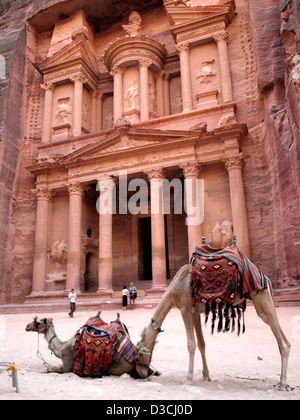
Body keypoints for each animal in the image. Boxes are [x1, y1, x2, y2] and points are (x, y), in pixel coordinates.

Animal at [136, 264, 290, 388]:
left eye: (137, 356)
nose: (140, 374)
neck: (172, 290)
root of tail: (266, 278)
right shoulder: (195, 313)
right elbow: (201, 343)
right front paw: (206, 375)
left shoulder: (185, 309)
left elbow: (191, 344)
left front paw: (188, 379)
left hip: (262, 298)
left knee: (284, 342)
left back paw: (282, 383)